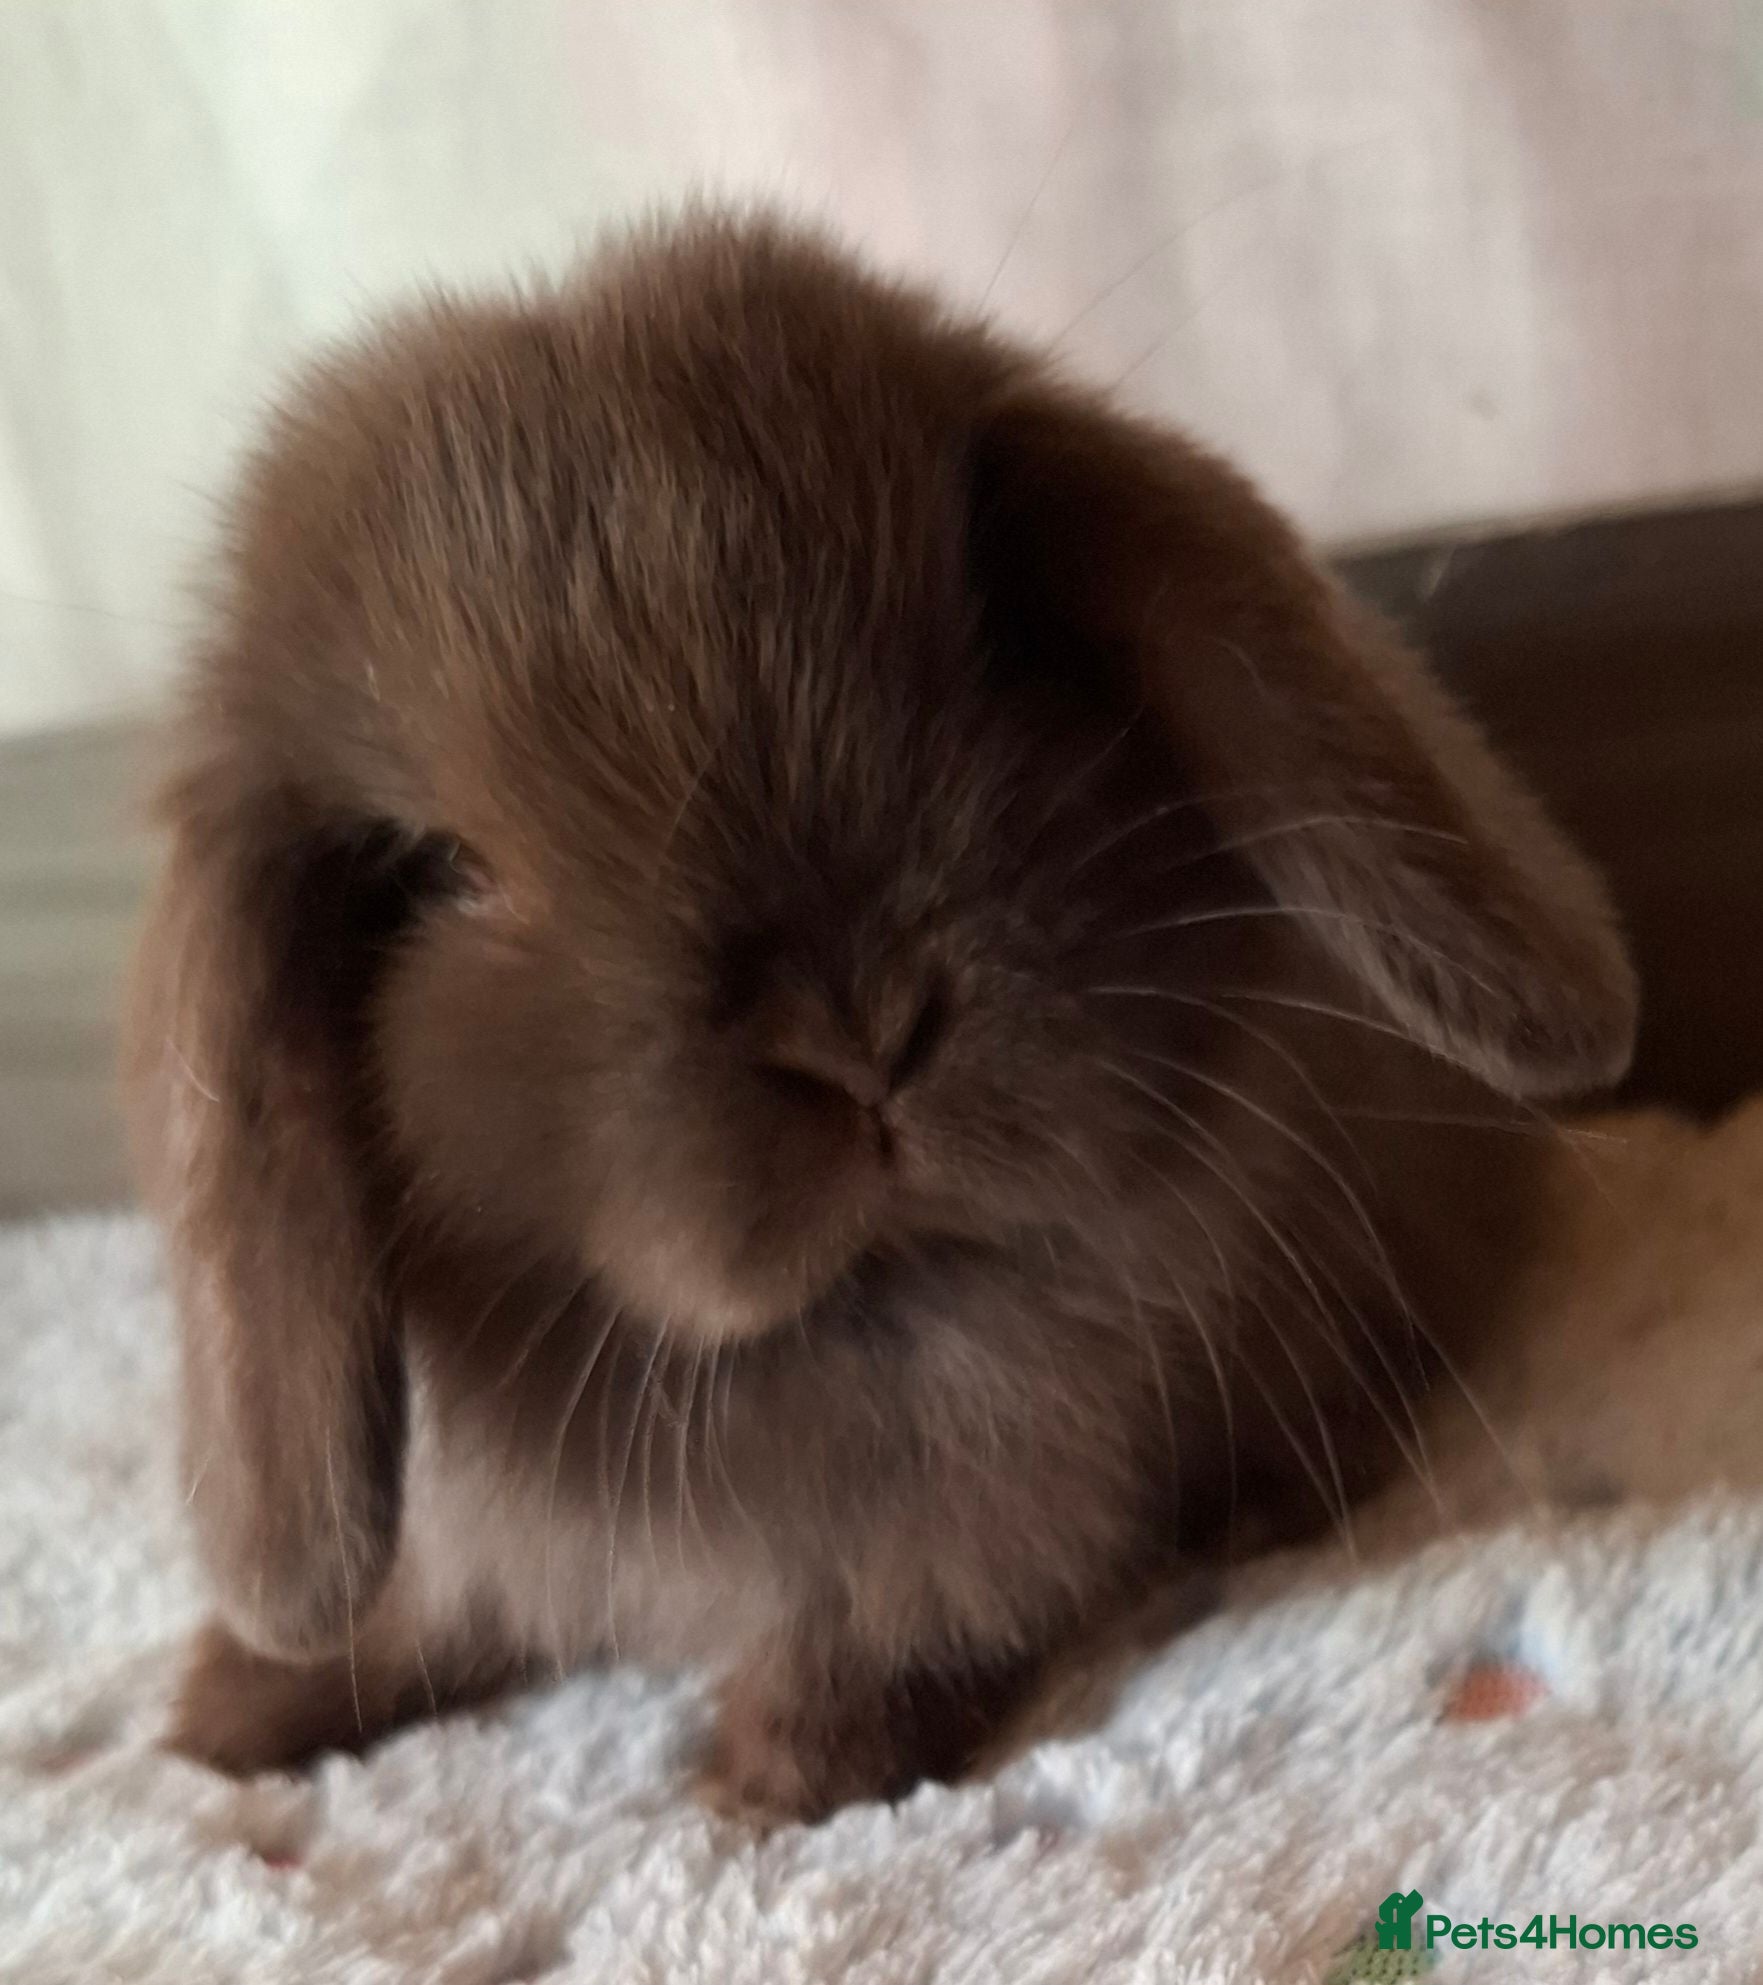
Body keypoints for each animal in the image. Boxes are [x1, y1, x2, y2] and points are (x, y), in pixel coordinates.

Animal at [125, 210, 1637, 1824]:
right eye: (439, 868)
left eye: (990, 628)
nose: (858, 1034)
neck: (836, 1321)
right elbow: (432, 1607)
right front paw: (234, 1707)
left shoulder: (997, 1499)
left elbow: (909, 1604)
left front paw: (776, 1767)